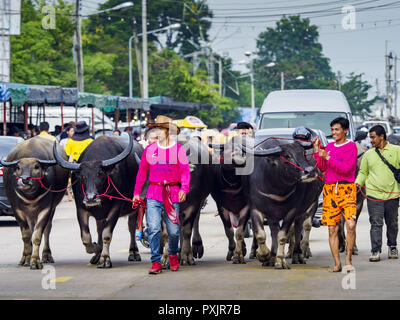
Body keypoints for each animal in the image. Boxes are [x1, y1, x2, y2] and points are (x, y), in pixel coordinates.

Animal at [1, 136, 69, 268]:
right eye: (18, 167)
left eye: (36, 166)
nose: (24, 179)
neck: (30, 197)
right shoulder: (17, 210)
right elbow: (26, 236)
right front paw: (26, 259)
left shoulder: (46, 209)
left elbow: (37, 235)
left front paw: (35, 261)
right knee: (31, 229)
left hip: (52, 209)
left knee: (47, 228)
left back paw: (47, 256)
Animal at [52, 136, 141, 268]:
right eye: (83, 176)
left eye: (100, 174)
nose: (90, 198)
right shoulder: (81, 208)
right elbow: (86, 236)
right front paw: (96, 248)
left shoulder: (116, 208)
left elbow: (106, 234)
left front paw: (105, 259)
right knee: (99, 229)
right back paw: (97, 256)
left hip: (136, 207)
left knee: (132, 227)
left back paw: (134, 252)